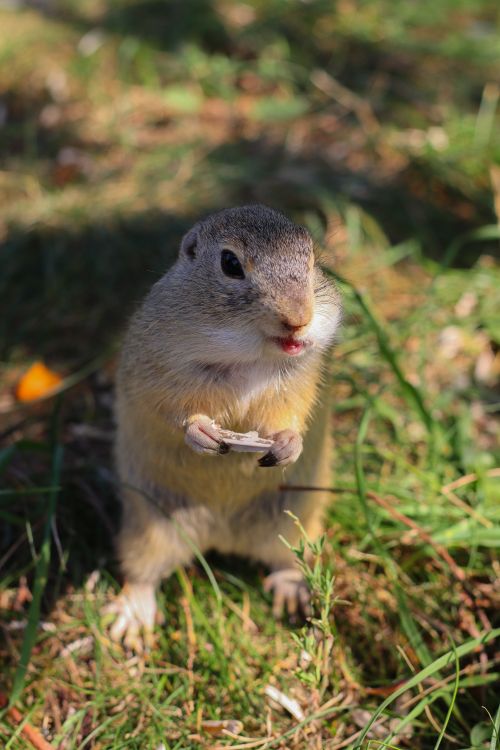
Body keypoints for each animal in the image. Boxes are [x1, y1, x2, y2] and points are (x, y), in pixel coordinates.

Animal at [107, 205, 341, 650]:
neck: (249, 355)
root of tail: (221, 537)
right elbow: (172, 410)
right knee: (142, 574)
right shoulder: (158, 370)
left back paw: (293, 595)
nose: (299, 320)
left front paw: (287, 444)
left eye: (311, 258)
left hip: (294, 524)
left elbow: (292, 415)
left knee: (286, 560)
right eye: (230, 263)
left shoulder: (299, 380)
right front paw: (202, 433)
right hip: (147, 530)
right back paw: (132, 619)